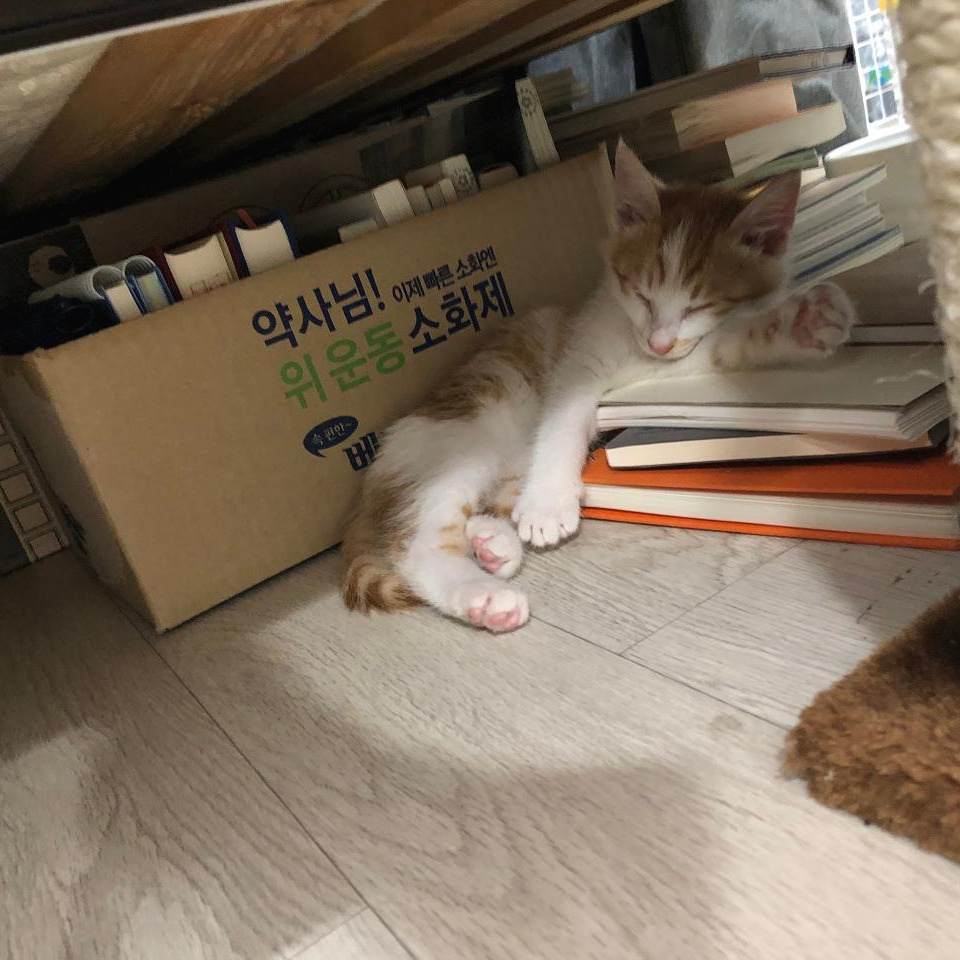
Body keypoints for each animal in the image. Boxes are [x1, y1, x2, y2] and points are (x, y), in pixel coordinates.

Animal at [339, 140, 856, 632]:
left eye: (697, 306)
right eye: (642, 294)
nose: (659, 340)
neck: (630, 334)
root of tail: (372, 479)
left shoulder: (662, 363)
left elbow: (715, 346)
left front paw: (798, 323)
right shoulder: (578, 364)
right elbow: (563, 422)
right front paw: (548, 503)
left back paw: (491, 544)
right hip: (468, 430)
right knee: (416, 543)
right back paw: (483, 597)